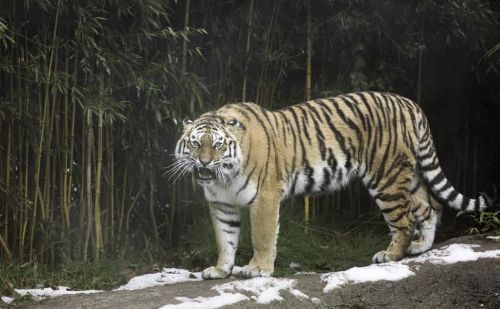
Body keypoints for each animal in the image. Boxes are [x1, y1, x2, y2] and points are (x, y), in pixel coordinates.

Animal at [171, 91, 496, 280]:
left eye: (218, 145)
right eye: (196, 144)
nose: (203, 163)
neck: (223, 177)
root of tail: (410, 103)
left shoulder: (265, 197)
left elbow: (262, 237)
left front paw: (257, 268)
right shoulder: (221, 204)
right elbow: (225, 239)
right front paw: (220, 269)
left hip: (385, 177)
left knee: (404, 219)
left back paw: (390, 255)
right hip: (408, 175)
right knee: (429, 206)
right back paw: (419, 247)